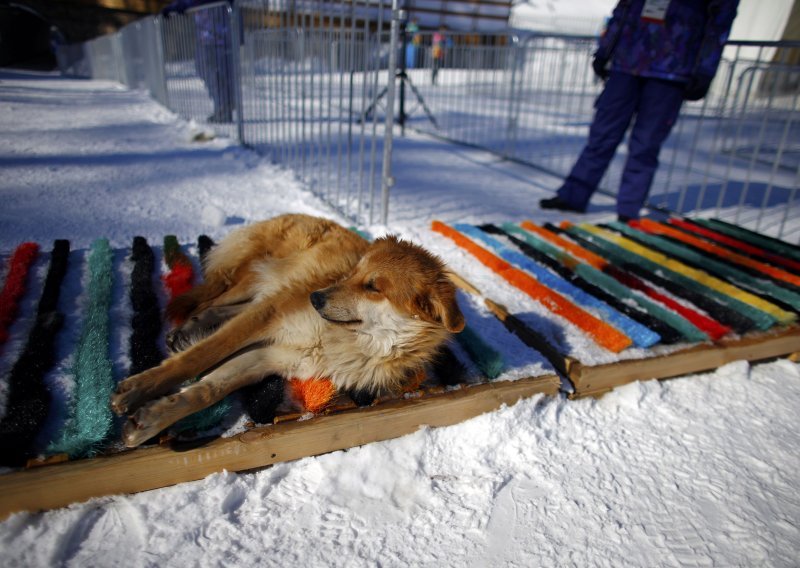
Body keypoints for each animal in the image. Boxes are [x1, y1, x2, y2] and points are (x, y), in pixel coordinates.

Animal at [109, 214, 466, 448]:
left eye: (373, 287)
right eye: (353, 273)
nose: (315, 298)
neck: (347, 340)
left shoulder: (271, 356)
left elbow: (207, 390)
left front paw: (150, 419)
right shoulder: (267, 317)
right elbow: (198, 359)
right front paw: (137, 390)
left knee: (223, 307)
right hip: (263, 277)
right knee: (214, 301)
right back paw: (188, 328)